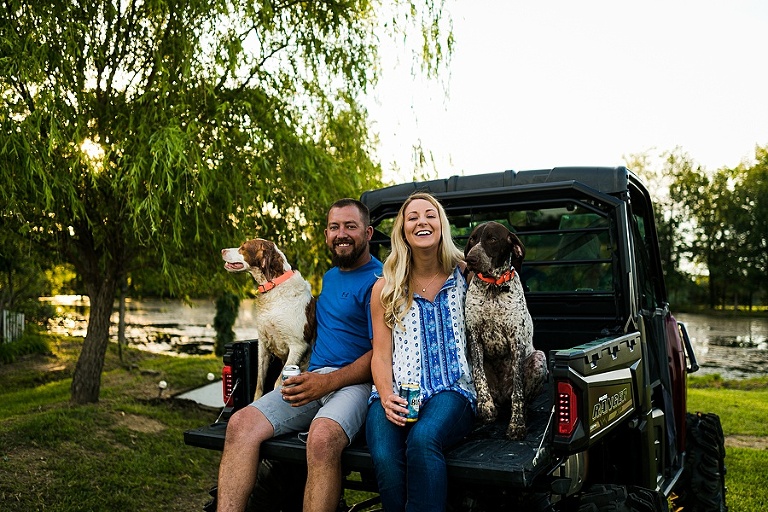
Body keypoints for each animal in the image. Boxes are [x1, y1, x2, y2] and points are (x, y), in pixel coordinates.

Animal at [220, 238, 316, 402]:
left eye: (243, 248)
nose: (222, 250)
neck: (274, 287)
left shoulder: (298, 346)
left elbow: (278, 382)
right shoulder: (263, 344)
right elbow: (259, 383)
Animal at [464, 221, 548, 440]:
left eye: (492, 239)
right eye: (473, 239)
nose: (470, 259)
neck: (494, 287)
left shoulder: (516, 341)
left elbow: (518, 390)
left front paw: (517, 425)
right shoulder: (474, 336)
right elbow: (479, 376)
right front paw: (485, 407)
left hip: (539, 358)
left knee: (520, 398)